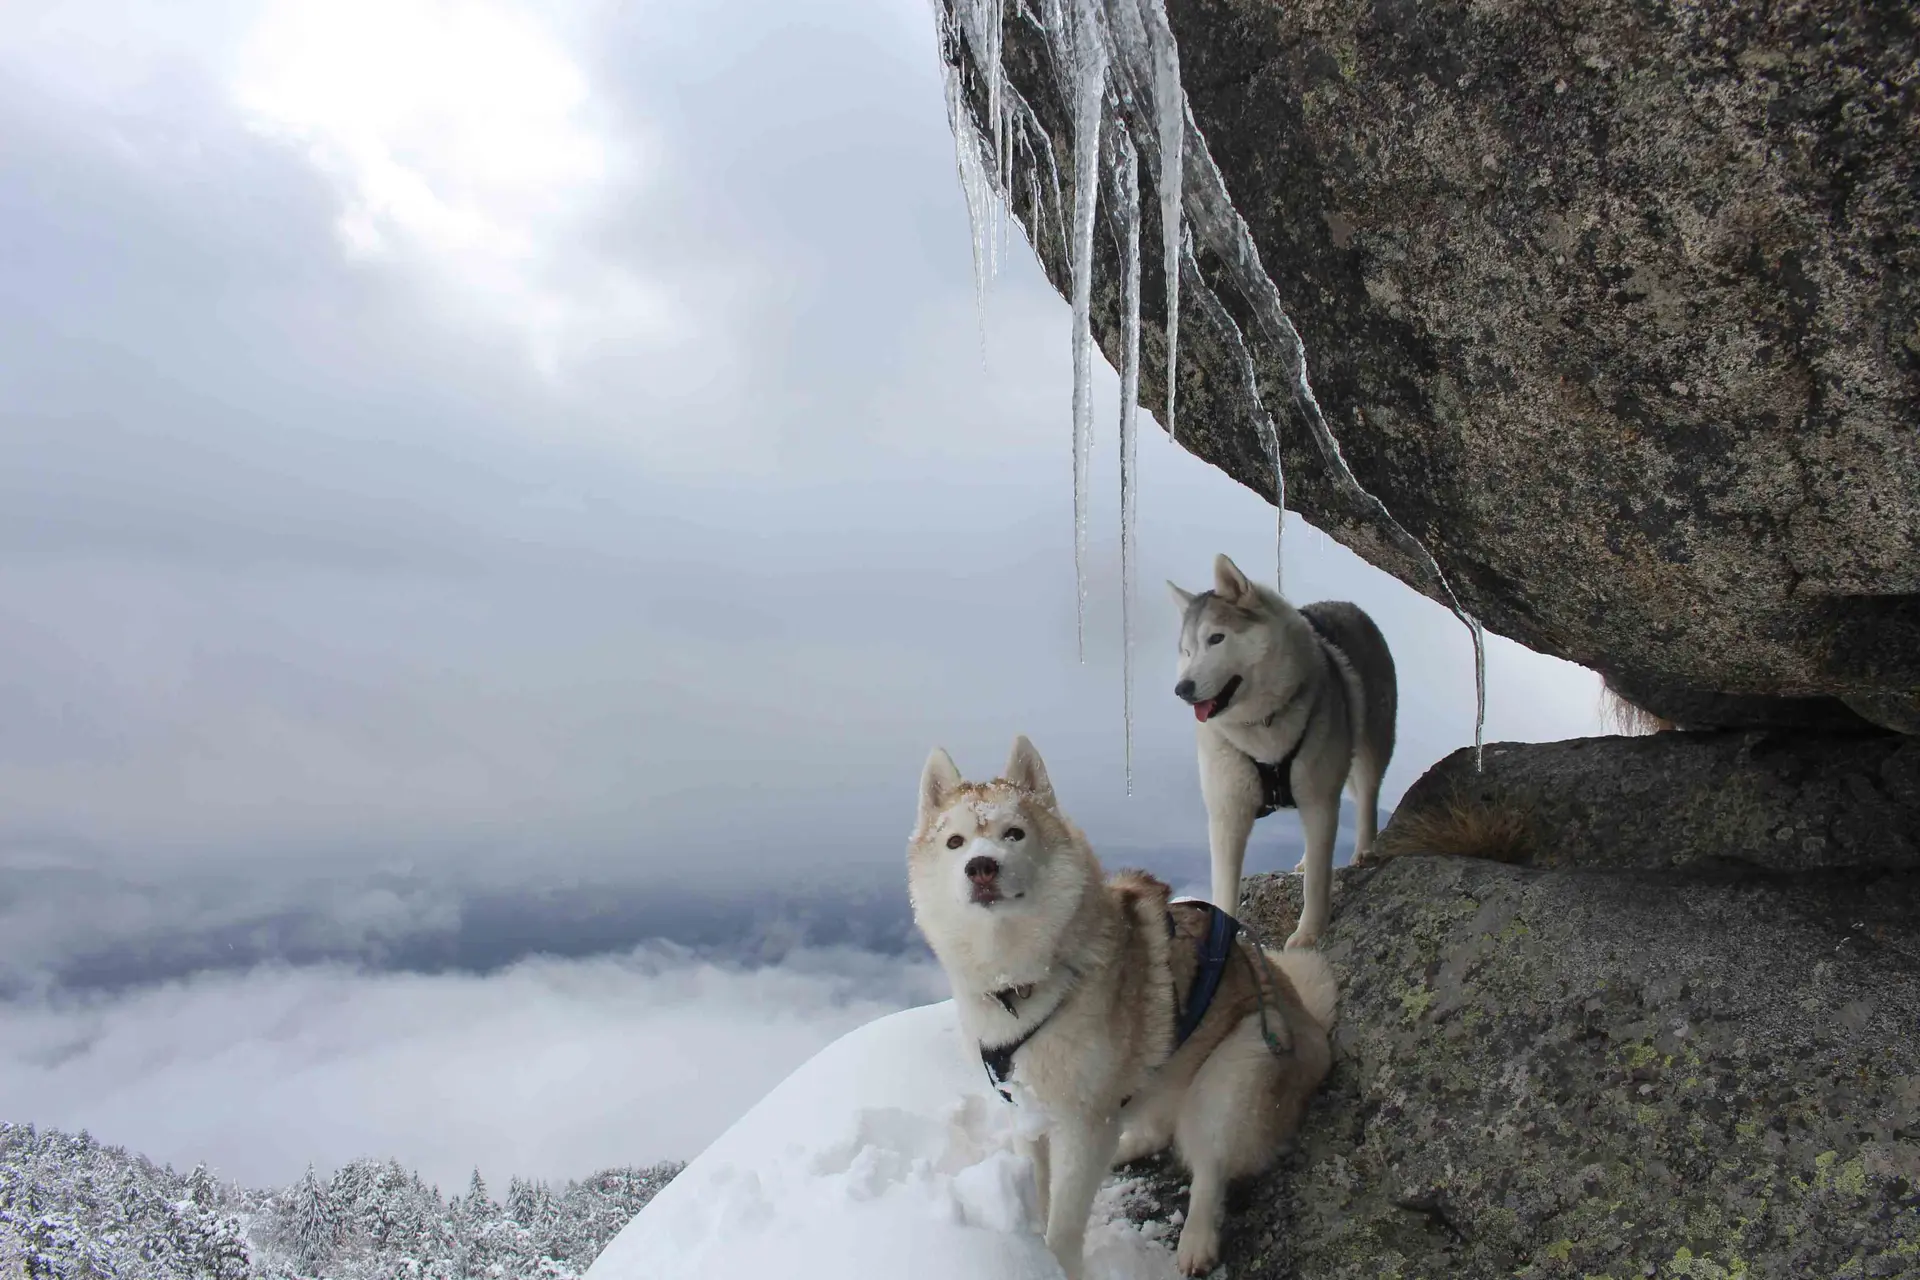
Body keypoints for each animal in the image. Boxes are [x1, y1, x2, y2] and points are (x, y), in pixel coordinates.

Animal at [908, 735, 1337, 1277]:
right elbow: (1040, 1195)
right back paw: (1126, 1148)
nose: (981, 867)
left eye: (1014, 833)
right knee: (1156, 1130)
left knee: (1209, 1165)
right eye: (955, 842)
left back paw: (1196, 1241)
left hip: (1237, 1068)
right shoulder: (1027, 1112)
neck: (1020, 982)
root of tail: (1311, 1021)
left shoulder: (1084, 1120)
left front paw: (1056, 1264)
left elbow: (1064, 1226)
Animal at [1168, 553, 1397, 949]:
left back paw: (1364, 850)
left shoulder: (1320, 800)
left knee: (1367, 795)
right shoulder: (1227, 813)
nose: (1183, 688)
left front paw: (1308, 934)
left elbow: (1318, 881)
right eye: (1187, 650)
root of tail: (1348, 605)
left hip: (1371, 748)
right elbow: (1225, 887)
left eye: (1216, 638)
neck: (1262, 726)